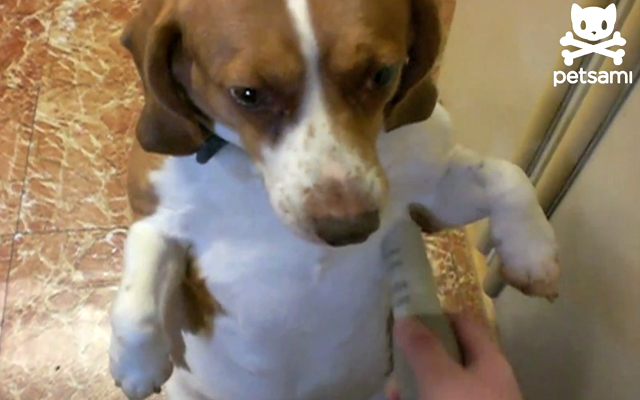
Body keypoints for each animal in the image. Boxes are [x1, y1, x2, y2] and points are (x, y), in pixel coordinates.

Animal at [110, 0, 560, 400]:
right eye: (247, 94)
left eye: (383, 73)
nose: (349, 229)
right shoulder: (160, 219)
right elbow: (136, 298)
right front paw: (137, 364)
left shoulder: (431, 194)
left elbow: (508, 175)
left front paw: (531, 253)